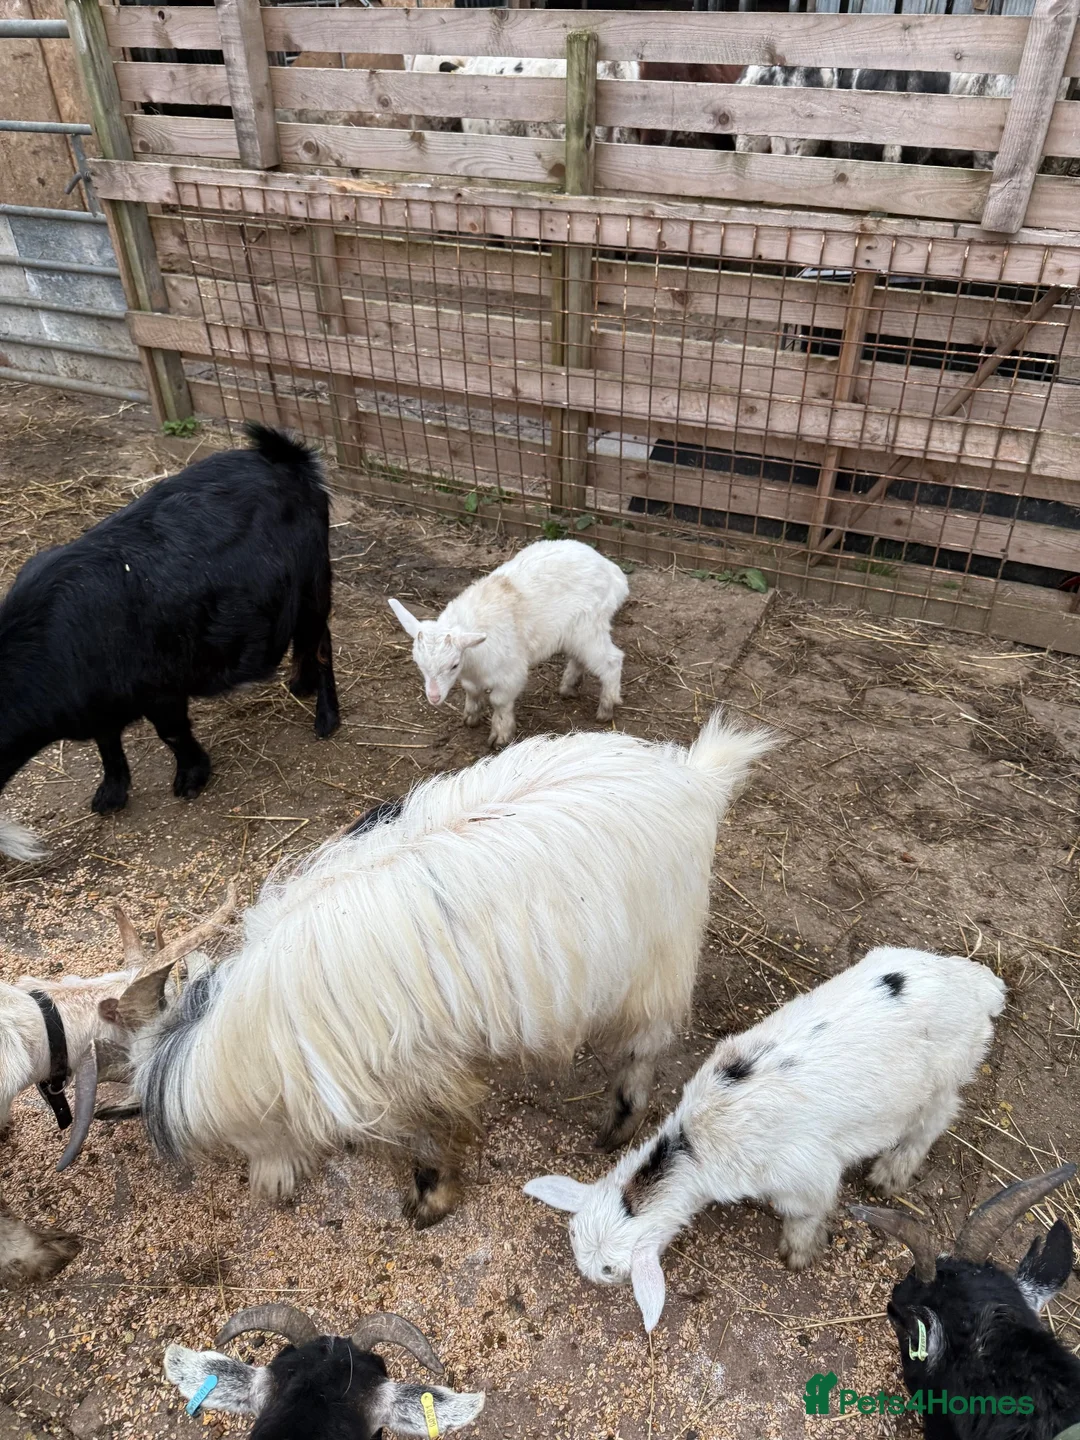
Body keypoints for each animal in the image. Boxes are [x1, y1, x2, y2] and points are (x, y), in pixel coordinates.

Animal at [0, 425, 339, 860]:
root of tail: (289, 458)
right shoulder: (101, 703)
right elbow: (106, 742)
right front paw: (110, 796)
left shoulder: (161, 687)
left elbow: (171, 733)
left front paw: (191, 779)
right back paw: (300, 684)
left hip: (314, 580)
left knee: (321, 641)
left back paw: (325, 719)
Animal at [114, 712, 773, 1227]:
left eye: (240, 1137)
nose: (266, 1192)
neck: (273, 1019)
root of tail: (697, 777)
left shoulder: (416, 1070)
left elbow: (432, 1139)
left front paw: (429, 1205)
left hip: (657, 962)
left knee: (644, 1047)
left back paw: (616, 1125)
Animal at [389, 538, 629, 748]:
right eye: (419, 665)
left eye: (453, 665)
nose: (434, 697)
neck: (472, 661)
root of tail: (612, 571)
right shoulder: (472, 675)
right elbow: (471, 691)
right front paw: (471, 716)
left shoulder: (509, 673)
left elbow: (499, 702)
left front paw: (501, 735)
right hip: (576, 633)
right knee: (579, 657)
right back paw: (569, 686)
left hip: (589, 626)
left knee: (611, 660)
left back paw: (606, 707)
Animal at [525, 945, 1006, 1332]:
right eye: (572, 1234)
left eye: (611, 1270)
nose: (587, 1274)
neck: (694, 1146)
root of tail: (976, 987)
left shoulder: (805, 1172)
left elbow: (805, 1210)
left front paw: (799, 1252)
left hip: (942, 1078)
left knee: (936, 1118)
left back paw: (891, 1172)